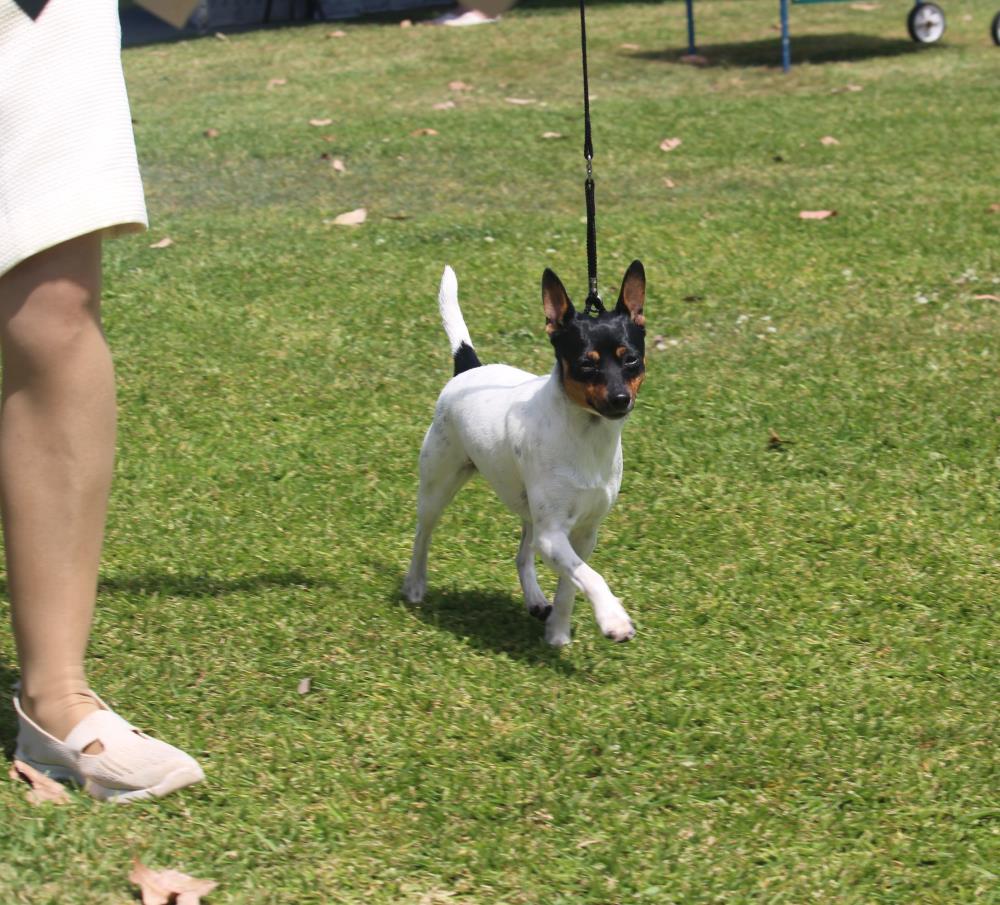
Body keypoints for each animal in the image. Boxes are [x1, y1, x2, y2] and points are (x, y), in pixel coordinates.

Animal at [402, 261, 646, 646]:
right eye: (586, 365)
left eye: (632, 360)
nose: (621, 399)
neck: (587, 437)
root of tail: (469, 367)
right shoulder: (553, 534)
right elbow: (591, 576)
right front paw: (613, 618)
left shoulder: (583, 533)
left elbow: (571, 584)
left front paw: (558, 632)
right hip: (437, 486)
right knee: (422, 534)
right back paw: (414, 586)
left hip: (529, 508)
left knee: (521, 556)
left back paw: (535, 600)